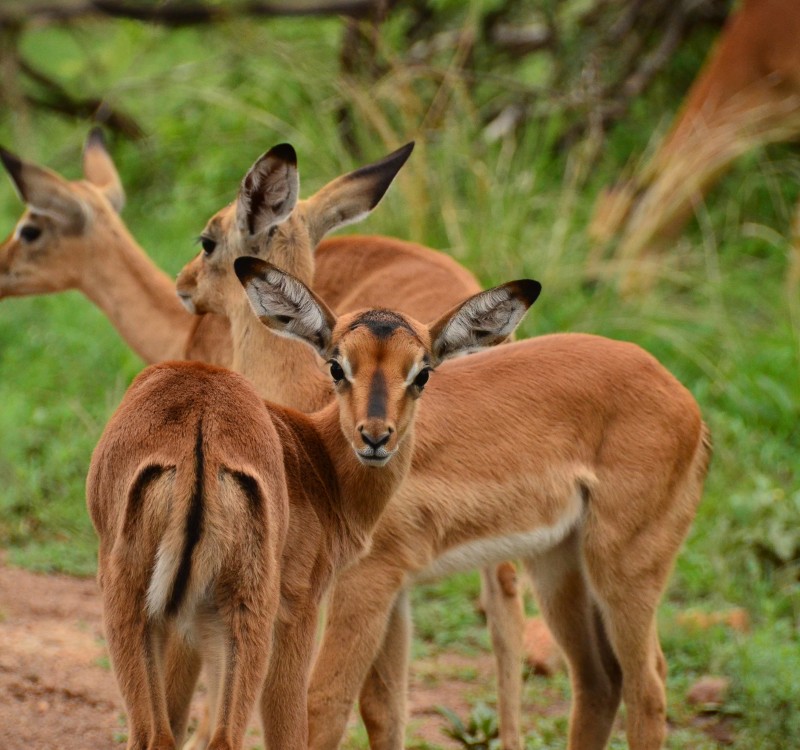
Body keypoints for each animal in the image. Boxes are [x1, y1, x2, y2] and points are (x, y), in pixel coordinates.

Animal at [87, 260, 540, 750]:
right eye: (337, 366)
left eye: (422, 373)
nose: (375, 437)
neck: (318, 460)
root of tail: (199, 423)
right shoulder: (299, 608)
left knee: (156, 735)